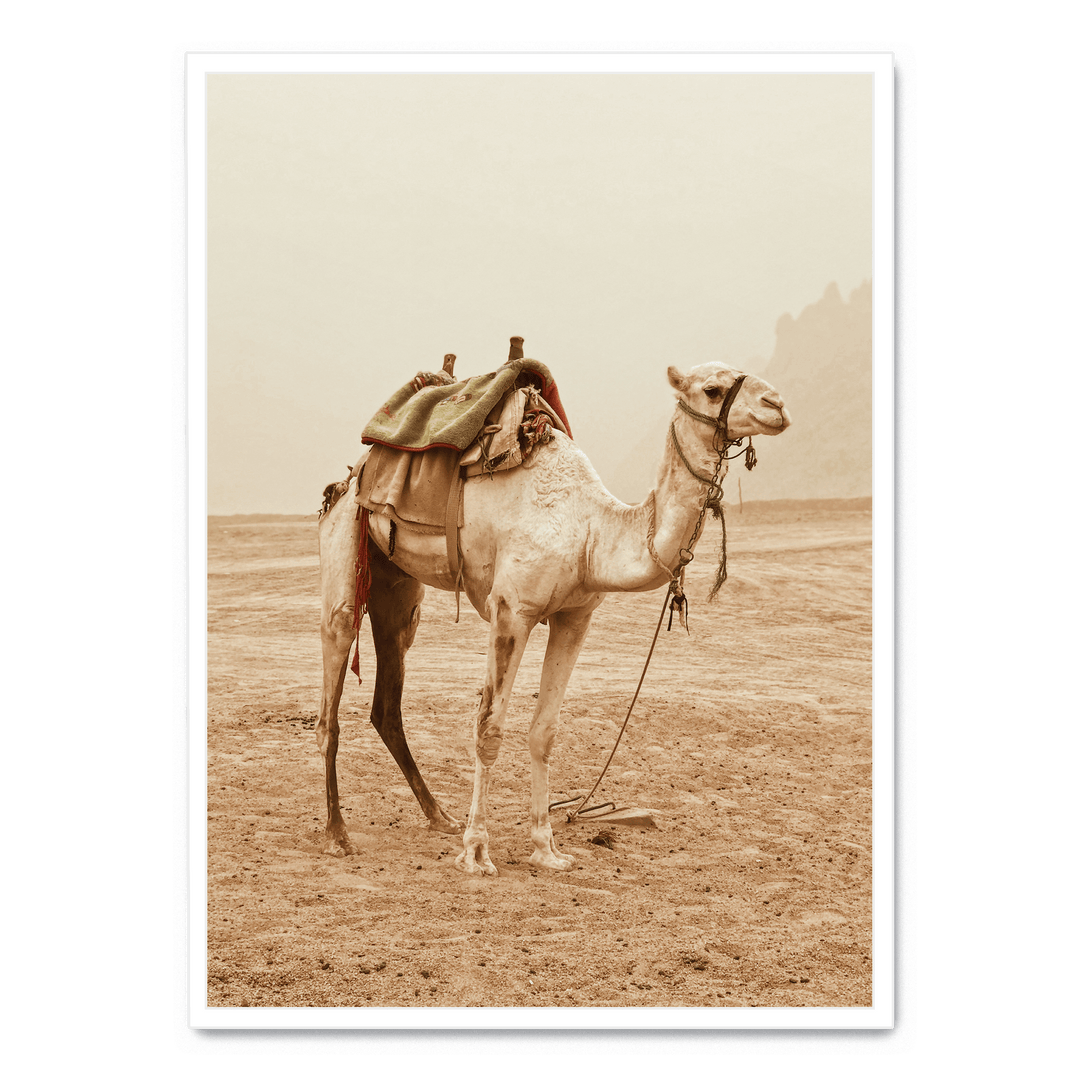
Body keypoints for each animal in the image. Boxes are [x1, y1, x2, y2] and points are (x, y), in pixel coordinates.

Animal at [317, 353, 791, 875]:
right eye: (711, 389)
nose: (777, 404)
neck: (591, 532)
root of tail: (350, 477)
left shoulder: (575, 617)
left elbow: (543, 731)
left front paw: (546, 848)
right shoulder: (511, 610)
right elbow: (488, 729)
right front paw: (476, 852)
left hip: (397, 587)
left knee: (388, 697)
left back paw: (438, 815)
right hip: (345, 545)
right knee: (332, 691)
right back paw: (338, 833)